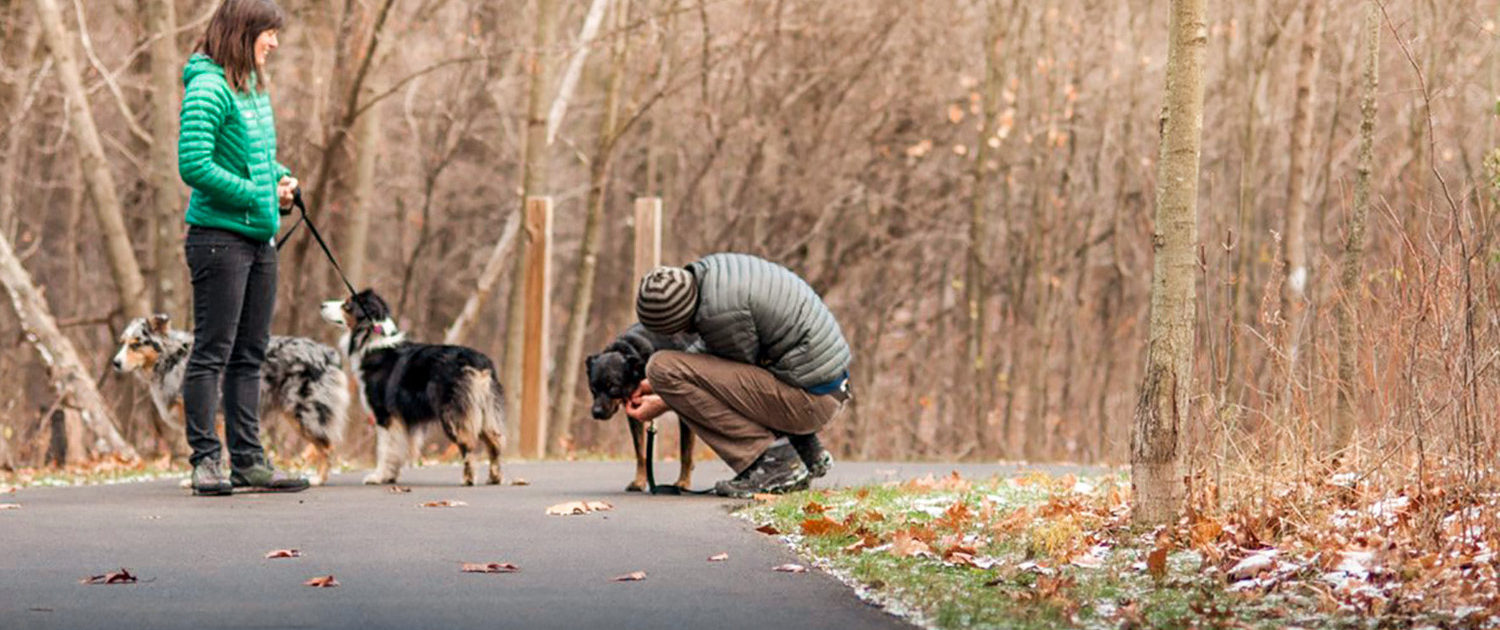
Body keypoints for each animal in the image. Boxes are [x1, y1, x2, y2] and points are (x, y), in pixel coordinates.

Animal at [588, 325, 699, 492]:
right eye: (593, 388)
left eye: (613, 387)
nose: (597, 412)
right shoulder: (635, 414)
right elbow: (640, 452)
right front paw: (639, 481)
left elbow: (685, 451)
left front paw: (683, 482)